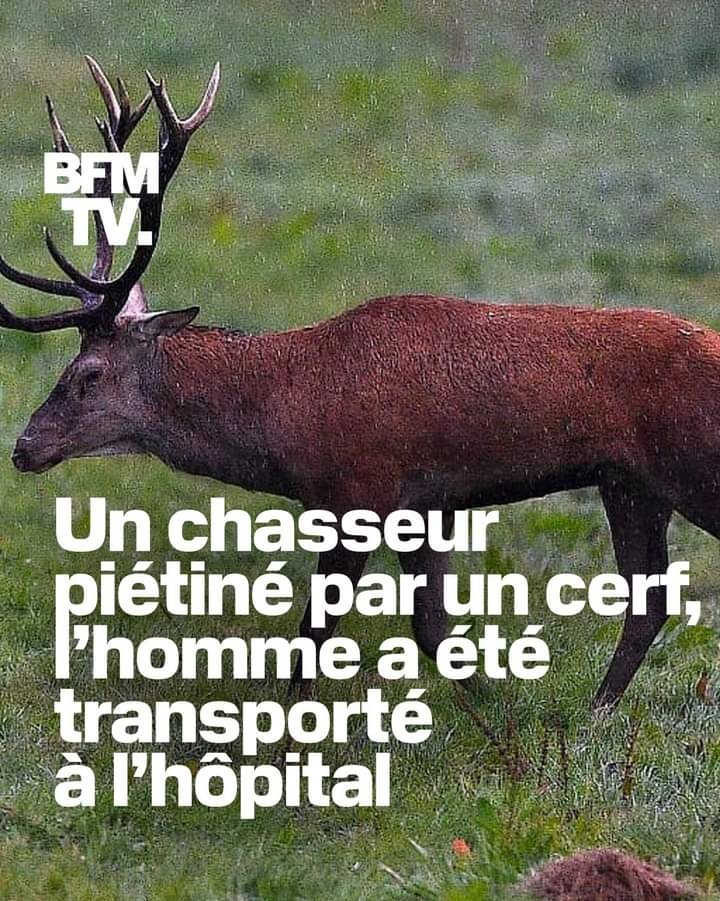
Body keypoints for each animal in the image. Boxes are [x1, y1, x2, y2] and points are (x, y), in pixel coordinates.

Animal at [2, 59, 718, 710]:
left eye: (88, 373)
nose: (24, 447)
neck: (285, 413)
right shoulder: (426, 506)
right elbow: (433, 630)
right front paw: (498, 713)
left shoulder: (358, 491)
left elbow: (317, 629)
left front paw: (289, 726)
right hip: (630, 482)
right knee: (648, 603)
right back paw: (594, 711)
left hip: (690, 467)